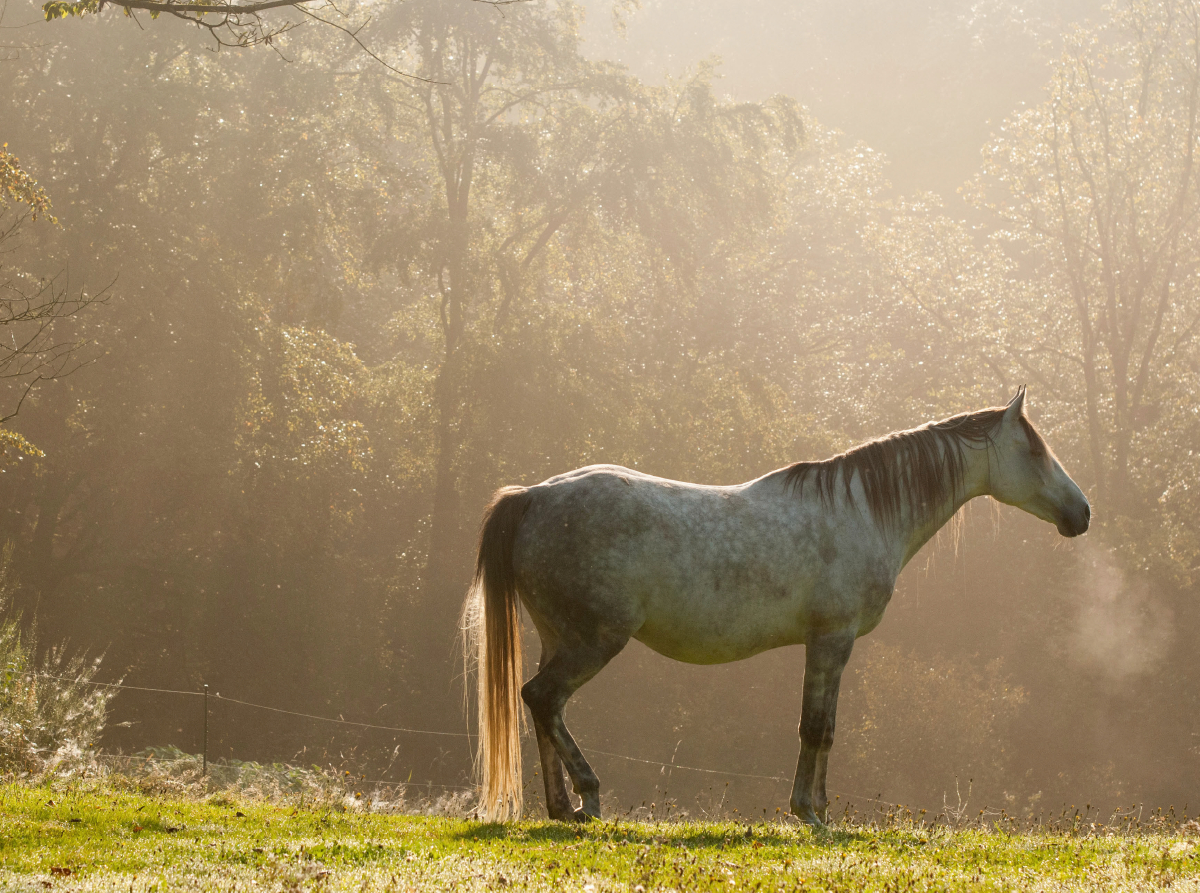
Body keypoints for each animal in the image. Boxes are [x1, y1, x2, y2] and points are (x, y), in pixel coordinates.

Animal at [458, 386, 1089, 825]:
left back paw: (561, 808)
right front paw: (810, 810)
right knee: (544, 698)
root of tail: (534, 495)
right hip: (594, 640)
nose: (1081, 513)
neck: (861, 510)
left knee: (543, 706)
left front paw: (814, 806)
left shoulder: (825, 643)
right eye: (1034, 449)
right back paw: (588, 798)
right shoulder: (832, 639)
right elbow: (818, 727)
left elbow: (820, 725)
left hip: (559, 638)